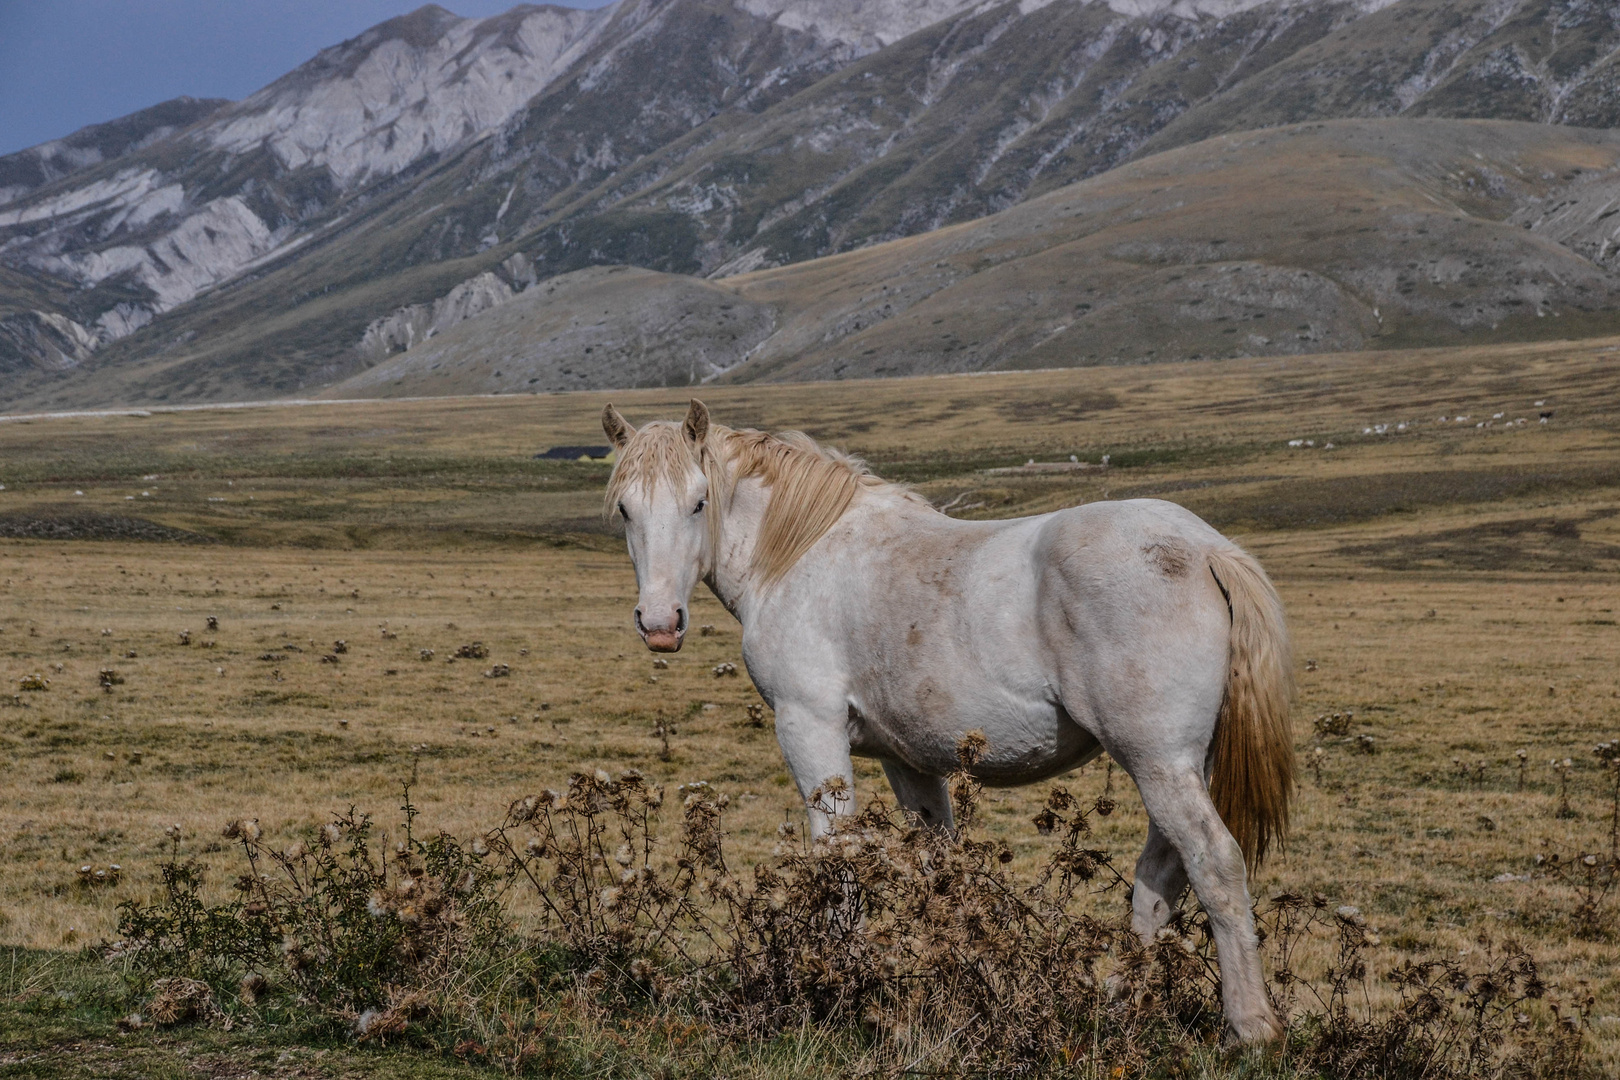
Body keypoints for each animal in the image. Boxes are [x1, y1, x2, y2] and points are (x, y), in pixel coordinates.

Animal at [602, 401, 1296, 1042]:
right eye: (625, 510)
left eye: (699, 502)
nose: (660, 624)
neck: (801, 554)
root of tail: (1207, 549)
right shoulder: (909, 761)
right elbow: (942, 875)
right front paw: (963, 987)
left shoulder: (810, 729)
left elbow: (839, 859)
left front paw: (838, 989)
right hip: (1179, 764)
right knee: (1161, 873)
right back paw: (1120, 1005)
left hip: (1158, 761)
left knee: (1213, 863)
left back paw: (1251, 1028)